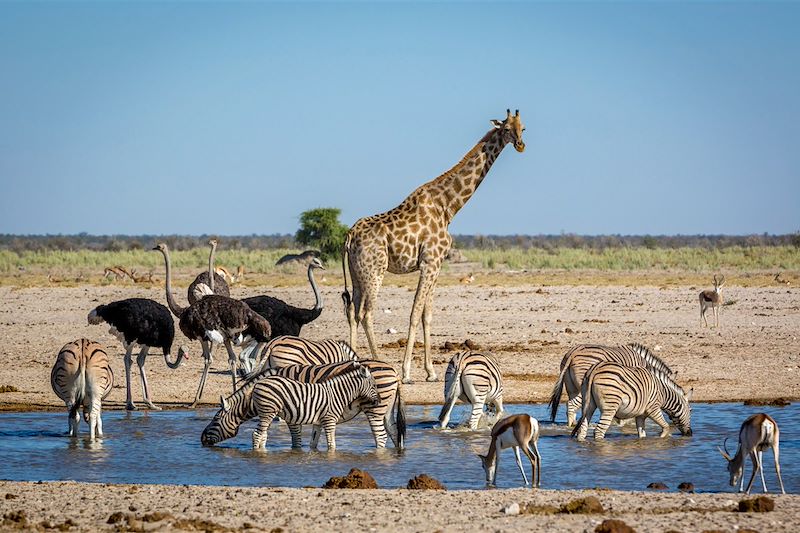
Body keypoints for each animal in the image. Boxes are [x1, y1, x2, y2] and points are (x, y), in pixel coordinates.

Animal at [202, 362, 380, 448]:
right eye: (373, 386)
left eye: (215, 420)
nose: (201, 439)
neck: (337, 393)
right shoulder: (327, 419)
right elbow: (330, 444)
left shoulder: (319, 420)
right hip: (268, 412)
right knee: (257, 434)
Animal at [256, 358, 406, 448]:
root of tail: (394, 371)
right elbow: (313, 441)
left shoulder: (293, 414)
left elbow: (296, 440)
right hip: (387, 408)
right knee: (394, 432)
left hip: (375, 409)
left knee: (381, 435)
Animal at [342, 109, 524, 382]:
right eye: (506, 129)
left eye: (523, 127)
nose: (521, 145)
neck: (448, 206)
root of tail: (350, 235)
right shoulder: (430, 263)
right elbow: (415, 312)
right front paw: (407, 372)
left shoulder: (435, 265)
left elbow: (427, 316)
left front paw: (430, 372)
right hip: (374, 271)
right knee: (366, 313)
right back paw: (381, 362)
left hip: (357, 274)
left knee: (353, 312)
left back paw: (354, 362)